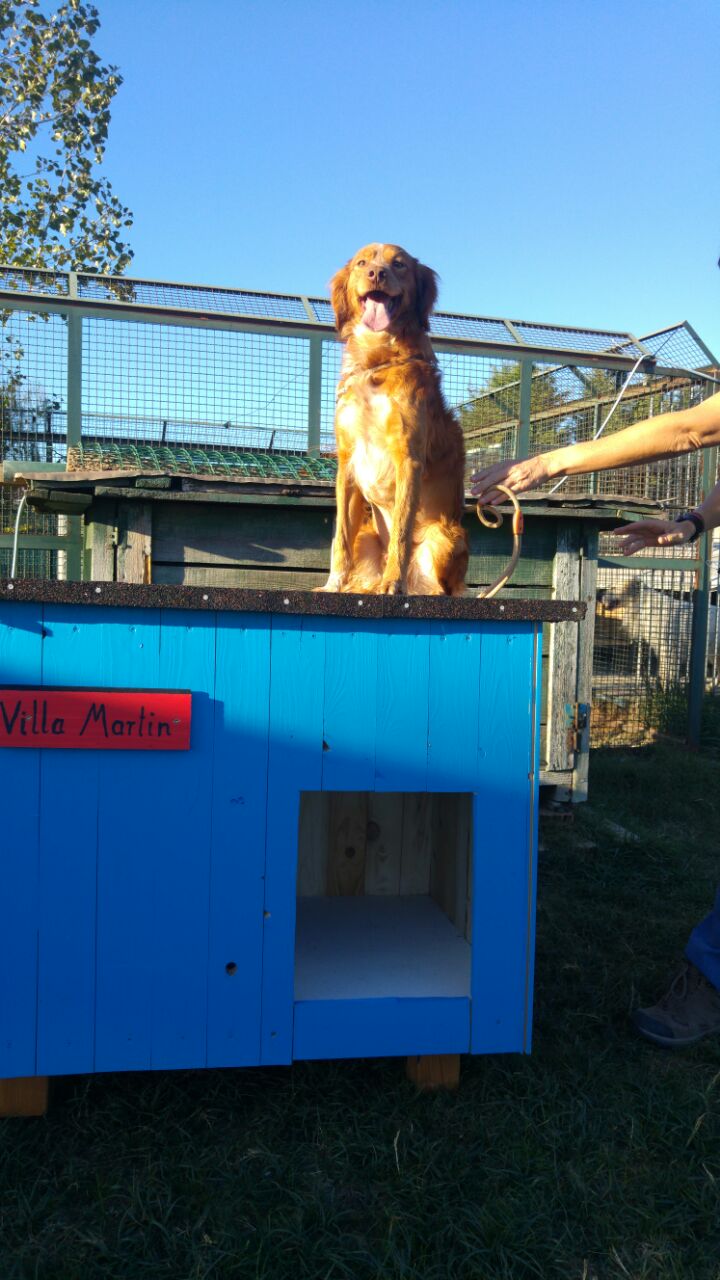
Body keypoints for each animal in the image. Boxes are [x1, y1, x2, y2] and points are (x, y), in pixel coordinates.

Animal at [317, 243, 469, 595]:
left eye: (398, 264)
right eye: (362, 263)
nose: (377, 273)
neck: (377, 361)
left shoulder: (408, 459)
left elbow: (401, 530)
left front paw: (391, 582)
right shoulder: (347, 462)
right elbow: (339, 539)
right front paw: (332, 584)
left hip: (445, 537)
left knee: (437, 590)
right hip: (367, 536)